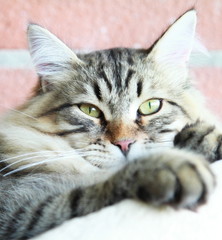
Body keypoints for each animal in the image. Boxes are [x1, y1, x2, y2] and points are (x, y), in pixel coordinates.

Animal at [0, 9, 220, 240]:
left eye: (150, 106)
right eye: (90, 110)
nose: (124, 144)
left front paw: (206, 139)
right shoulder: (15, 212)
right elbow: (89, 192)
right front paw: (166, 165)